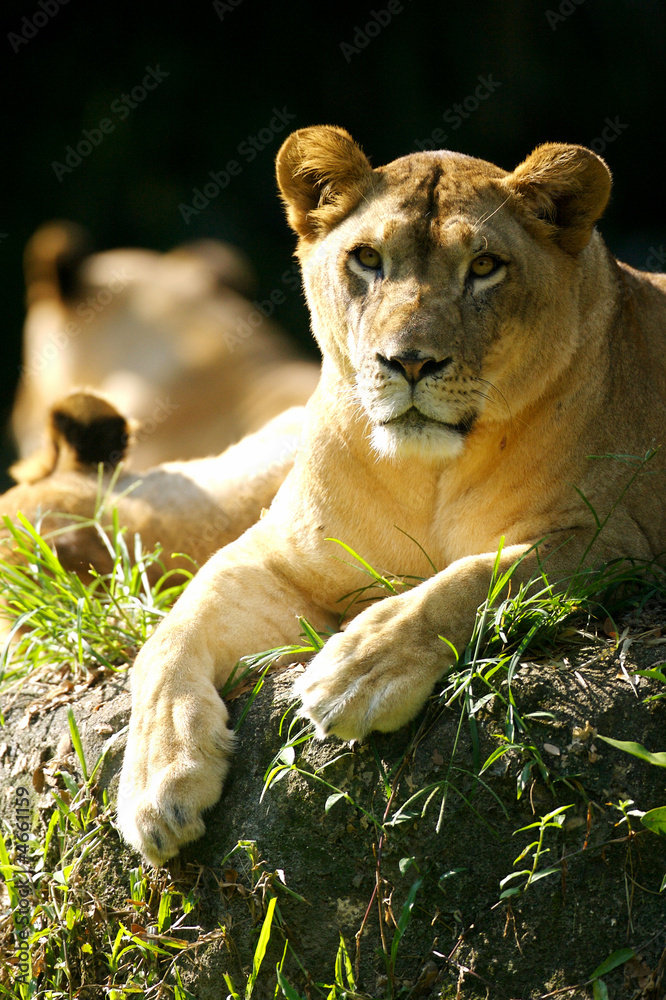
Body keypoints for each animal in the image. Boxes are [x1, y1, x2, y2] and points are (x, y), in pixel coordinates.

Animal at [116, 127, 666, 866]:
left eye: (485, 266)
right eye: (368, 259)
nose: (409, 361)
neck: (421, 475)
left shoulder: (613, 539)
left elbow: (472, 580)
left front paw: (358, 674)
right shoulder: (275, 552)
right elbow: (171, 634)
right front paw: (157, 781)